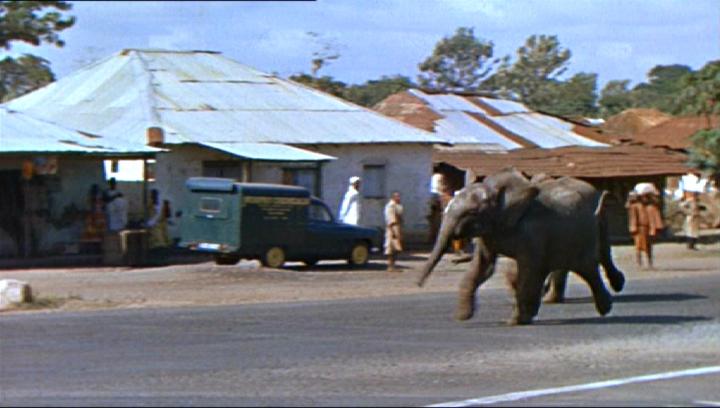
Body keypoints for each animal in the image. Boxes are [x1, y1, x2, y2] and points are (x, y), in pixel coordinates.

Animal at [416, 168, 624, 326]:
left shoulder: (531, 234)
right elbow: (483, 267)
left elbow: (528, 270)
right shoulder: (489, 234)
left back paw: (609, 300)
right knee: (581, 267)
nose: (418, 284)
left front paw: (513, 322)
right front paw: (462, 317)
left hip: (589, 229)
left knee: (588, 265)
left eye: (472, 213)